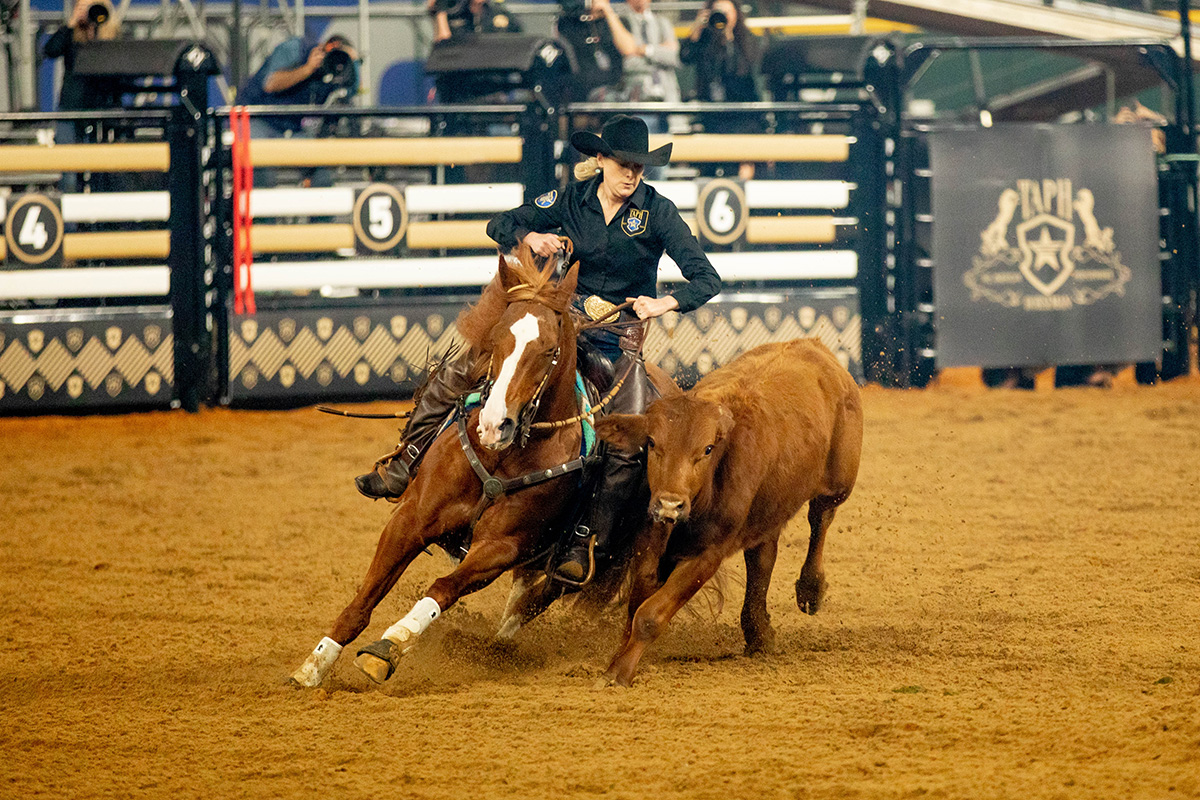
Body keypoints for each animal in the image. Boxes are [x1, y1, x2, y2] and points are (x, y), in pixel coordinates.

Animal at [294, 248, 604, 690]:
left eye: (549, 349)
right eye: (495, 338)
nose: (494, 425)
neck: (498, 459)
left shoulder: (500, 547)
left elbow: (442, 588)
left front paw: (389, 646)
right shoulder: (411, 518)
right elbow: (366, 594)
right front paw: (315, 663)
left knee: (539, 597)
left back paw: (497, 646)